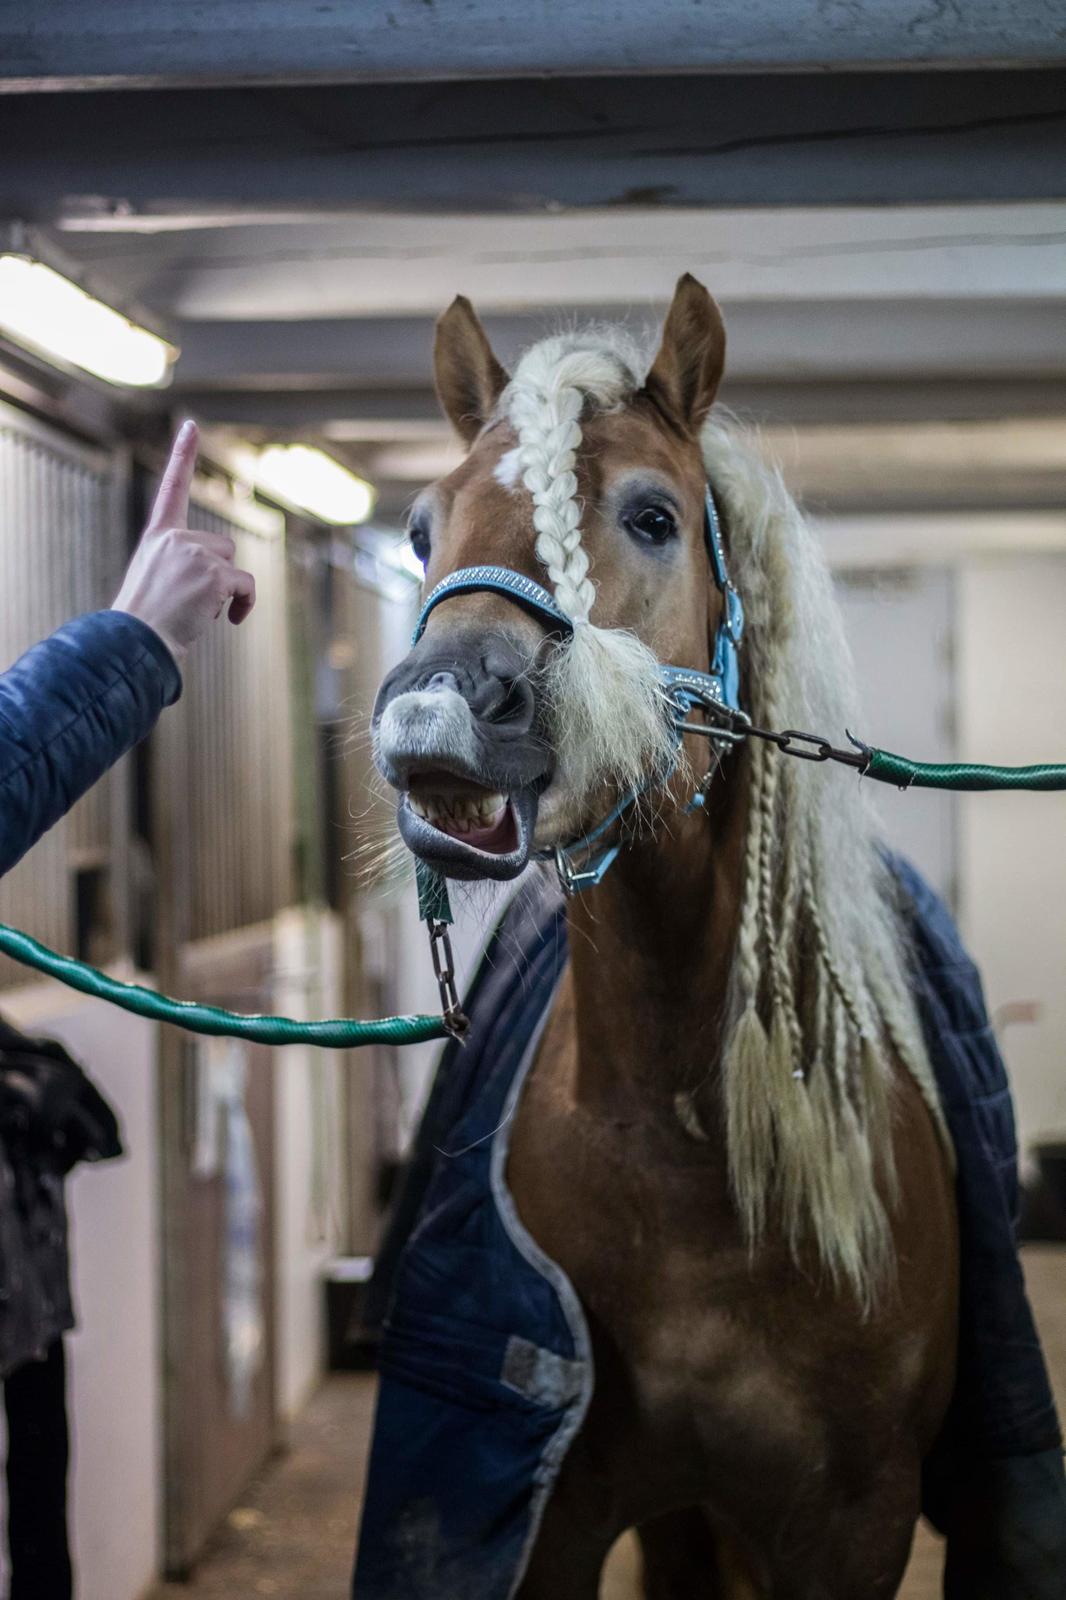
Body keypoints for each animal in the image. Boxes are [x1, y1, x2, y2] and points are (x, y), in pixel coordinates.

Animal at [368, 278, 953, 1600]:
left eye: (650, 516)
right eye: (422, 529)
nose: (436, 715)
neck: (684, 1141)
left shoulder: (853, 1526)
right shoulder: (555, 1516)